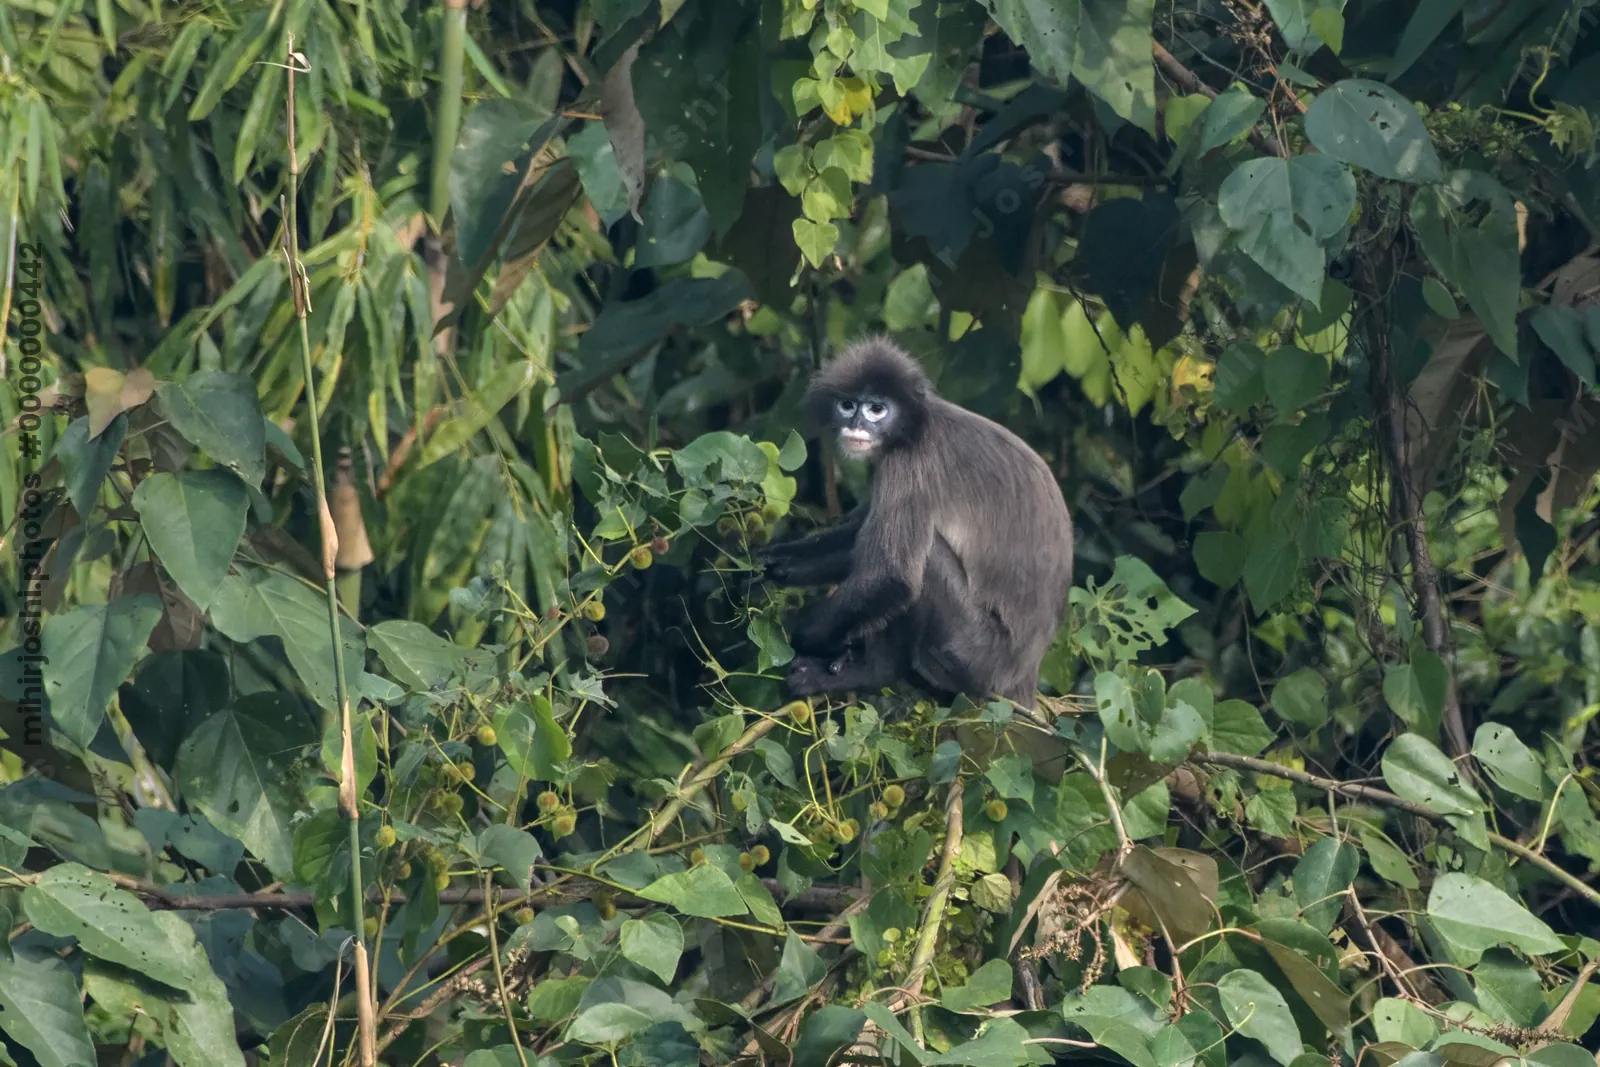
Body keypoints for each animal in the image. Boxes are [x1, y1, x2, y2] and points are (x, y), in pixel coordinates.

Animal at [759, 336, 1074, 709]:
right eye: (848, 406)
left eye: (877, 409)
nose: (858, 425)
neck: (915, 429)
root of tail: (1024, 680)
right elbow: (854, 541)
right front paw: (768, 564)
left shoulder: (908, 465)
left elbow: (889, 576)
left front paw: (803, 632)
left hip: (975, 656)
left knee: (925, 565)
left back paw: (872, 671)